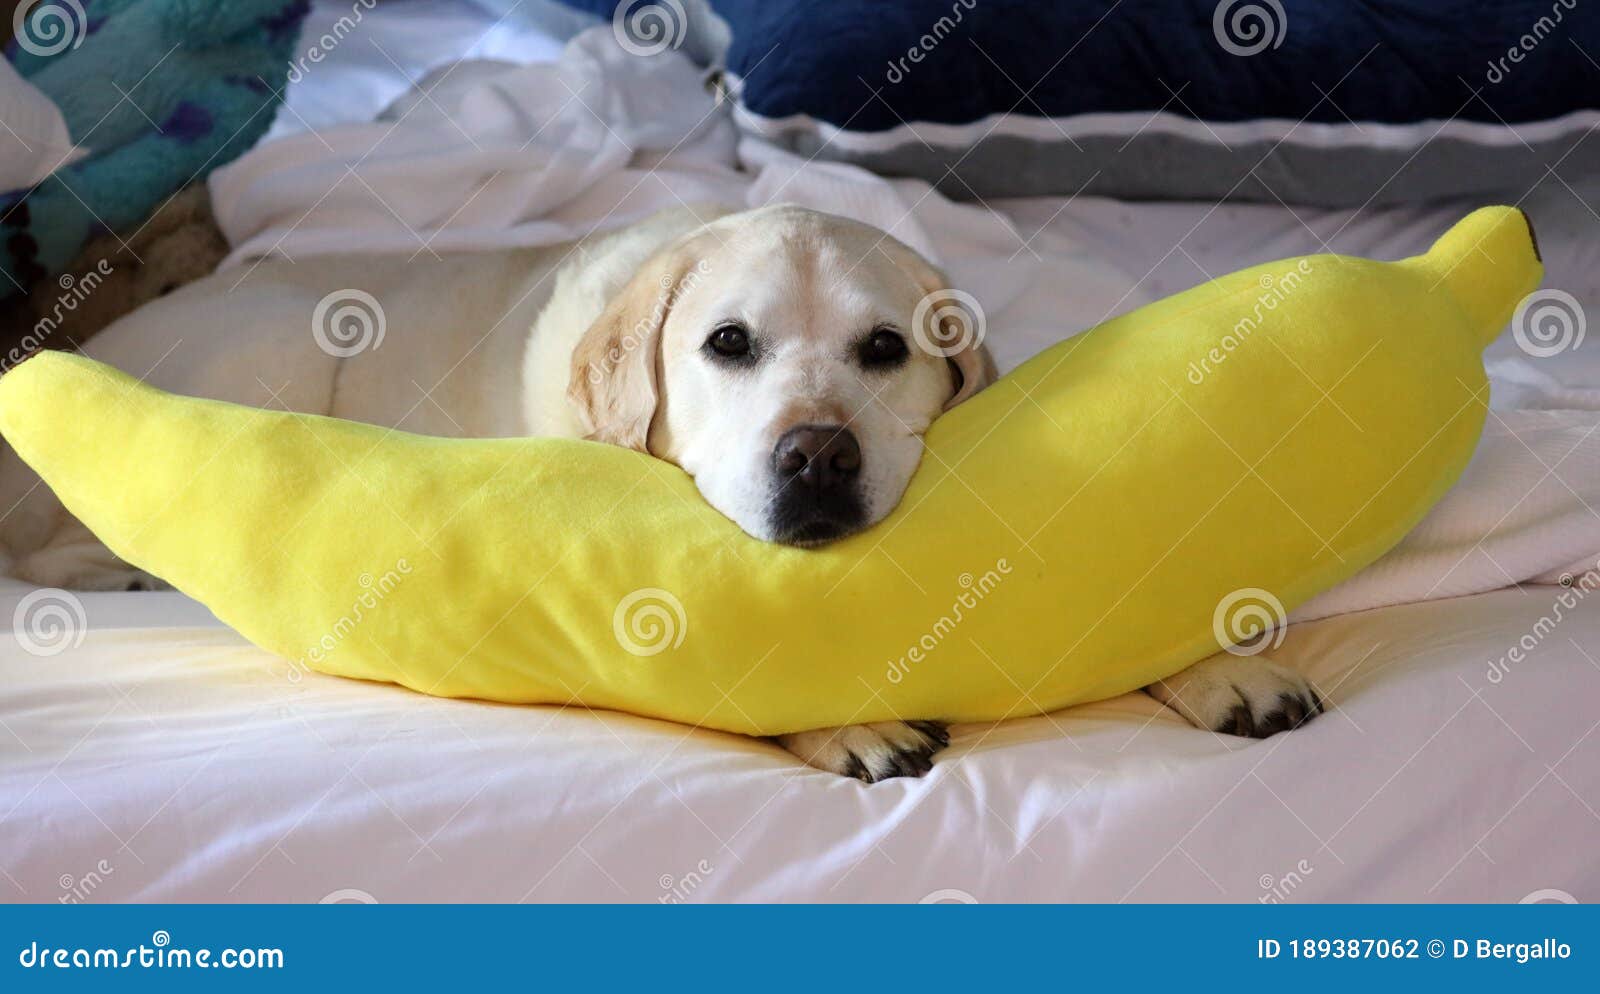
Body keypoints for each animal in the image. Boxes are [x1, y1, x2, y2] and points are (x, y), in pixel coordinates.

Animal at [0, 203, 1318, 774]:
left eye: (885, 349)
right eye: (726, 344)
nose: (817, 456)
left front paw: (1222, 669)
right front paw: (849, 720)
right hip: (265, 354)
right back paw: (122, 571)